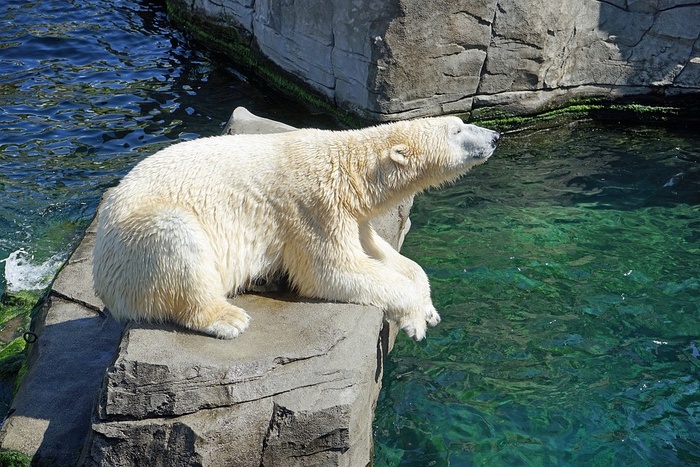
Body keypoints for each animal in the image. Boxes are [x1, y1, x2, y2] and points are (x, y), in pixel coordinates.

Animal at [91, 116, 498, 340]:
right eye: (458, 129)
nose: (495, 136)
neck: (349, 169)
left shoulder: (350, 214)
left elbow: (385, 256)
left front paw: (428, 308)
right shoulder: (313, 207)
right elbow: (332, 271)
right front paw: (415, 319)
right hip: (137, 241)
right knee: (177, 240)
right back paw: (228, 318)